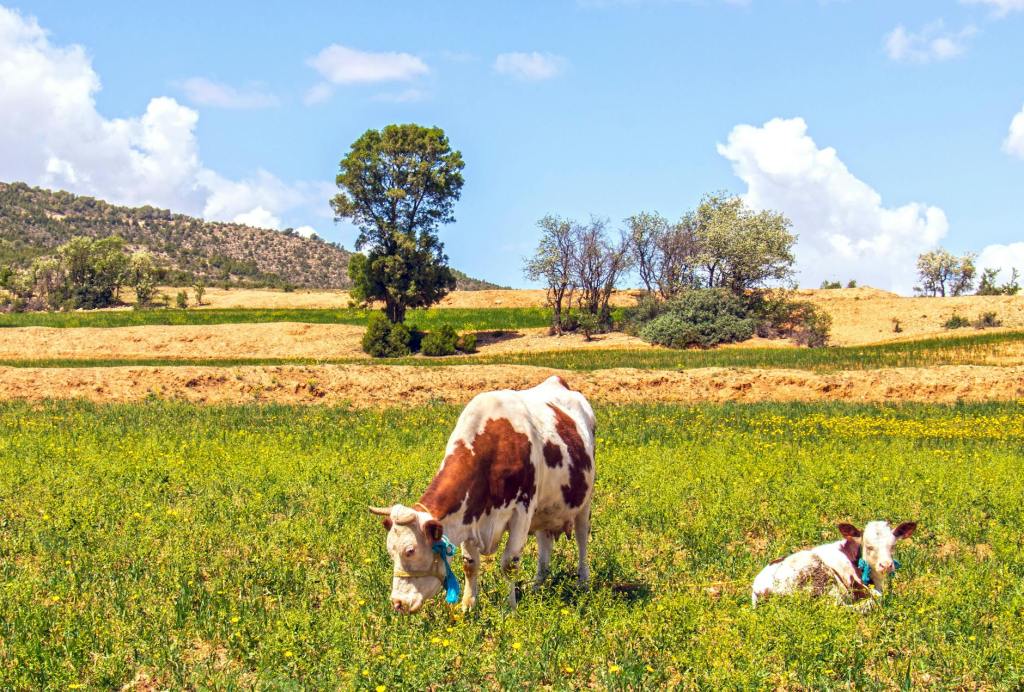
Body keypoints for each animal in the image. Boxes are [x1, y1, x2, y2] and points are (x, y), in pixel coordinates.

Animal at [369, 376, 596, 614]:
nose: (398, 603)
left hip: (585, 502)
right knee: (545, 542)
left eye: (410, 550)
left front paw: (510, 607)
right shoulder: (468, 517)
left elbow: (509, 564)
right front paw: (468, 606)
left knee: (582, 538)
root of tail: (558, 381)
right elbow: (470, 564)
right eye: (390, 551)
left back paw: (583, 582)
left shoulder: (522, 511)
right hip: (545, 509)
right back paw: (537, 585)